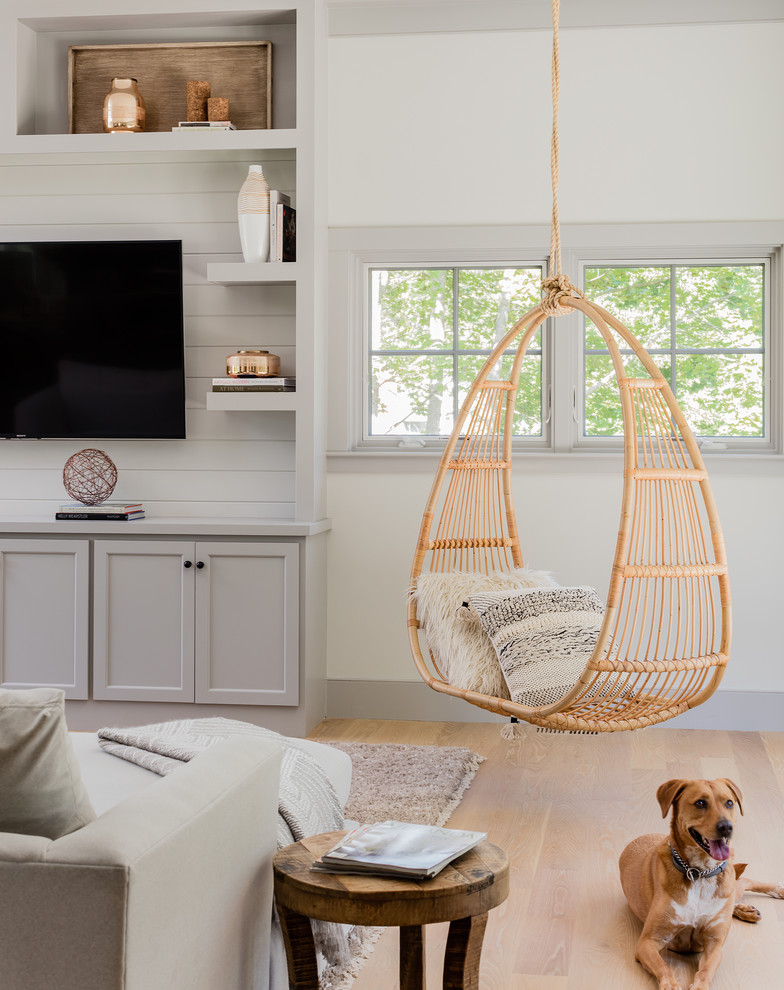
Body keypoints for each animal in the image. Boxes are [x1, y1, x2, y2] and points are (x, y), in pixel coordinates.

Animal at [620, 780, 780, 988]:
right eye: (700, 803)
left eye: (729, 803)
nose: (726, 827)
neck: (700, 874)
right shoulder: (648, 941)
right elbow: (664, 967)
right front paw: (670, 985)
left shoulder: (714, 944)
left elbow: (705, 971)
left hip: (730, 888)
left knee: (743, 882)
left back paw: (775, 891)